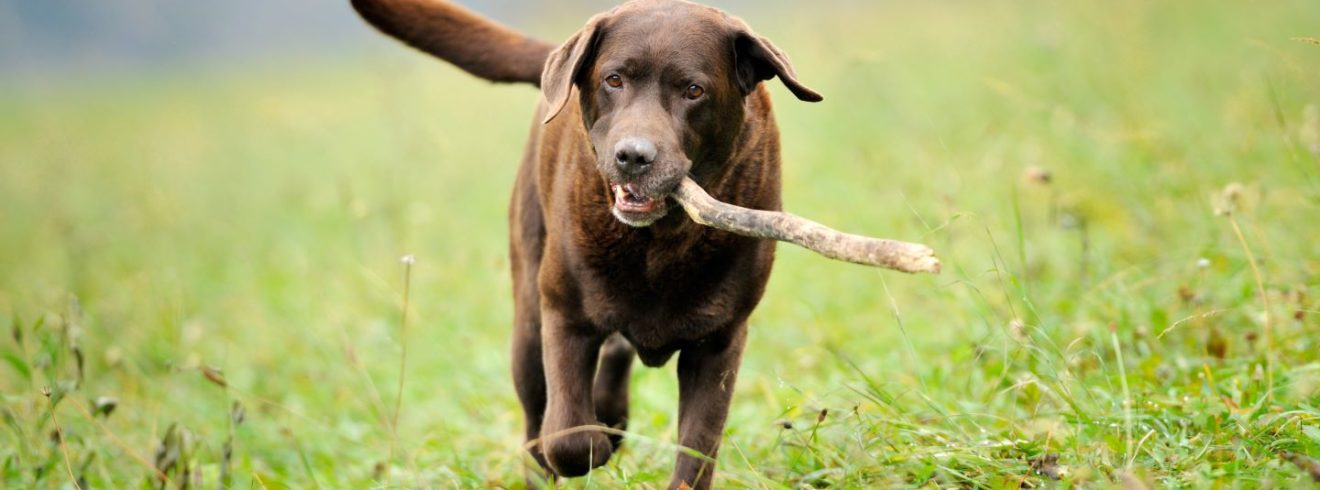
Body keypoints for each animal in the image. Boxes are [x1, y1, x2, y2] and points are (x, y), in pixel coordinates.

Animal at [356, 0, 818, 488]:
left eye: (694, 90)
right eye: (613, 80)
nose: (633, 156)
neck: (658, 240)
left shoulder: (718, 341)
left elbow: (696, 451)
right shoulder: (565, 316)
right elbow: (568, 439)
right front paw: (592, 441)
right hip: (528, 321)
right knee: (536, 423)